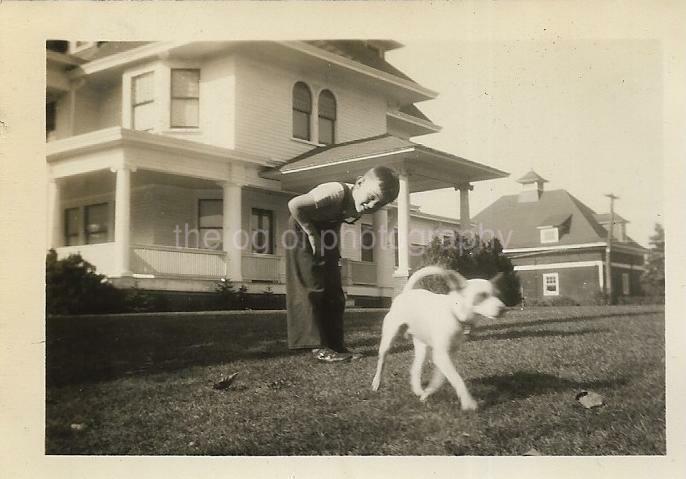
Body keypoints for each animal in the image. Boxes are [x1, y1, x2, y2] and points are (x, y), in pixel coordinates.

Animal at [374, 264, 508, 410]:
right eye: (482, 295)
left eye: (498, 295)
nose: (504, 309)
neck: (454, 313)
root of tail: (406, 293)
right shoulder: (441, 355)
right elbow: (457, 379)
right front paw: (468, 402)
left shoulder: (448, 355)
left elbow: (440, 379)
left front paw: (428, 393)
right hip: (389, 339)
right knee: (382, 361)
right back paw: (376, 383)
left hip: (422, 348)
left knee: (415, 369)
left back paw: (418, 390)